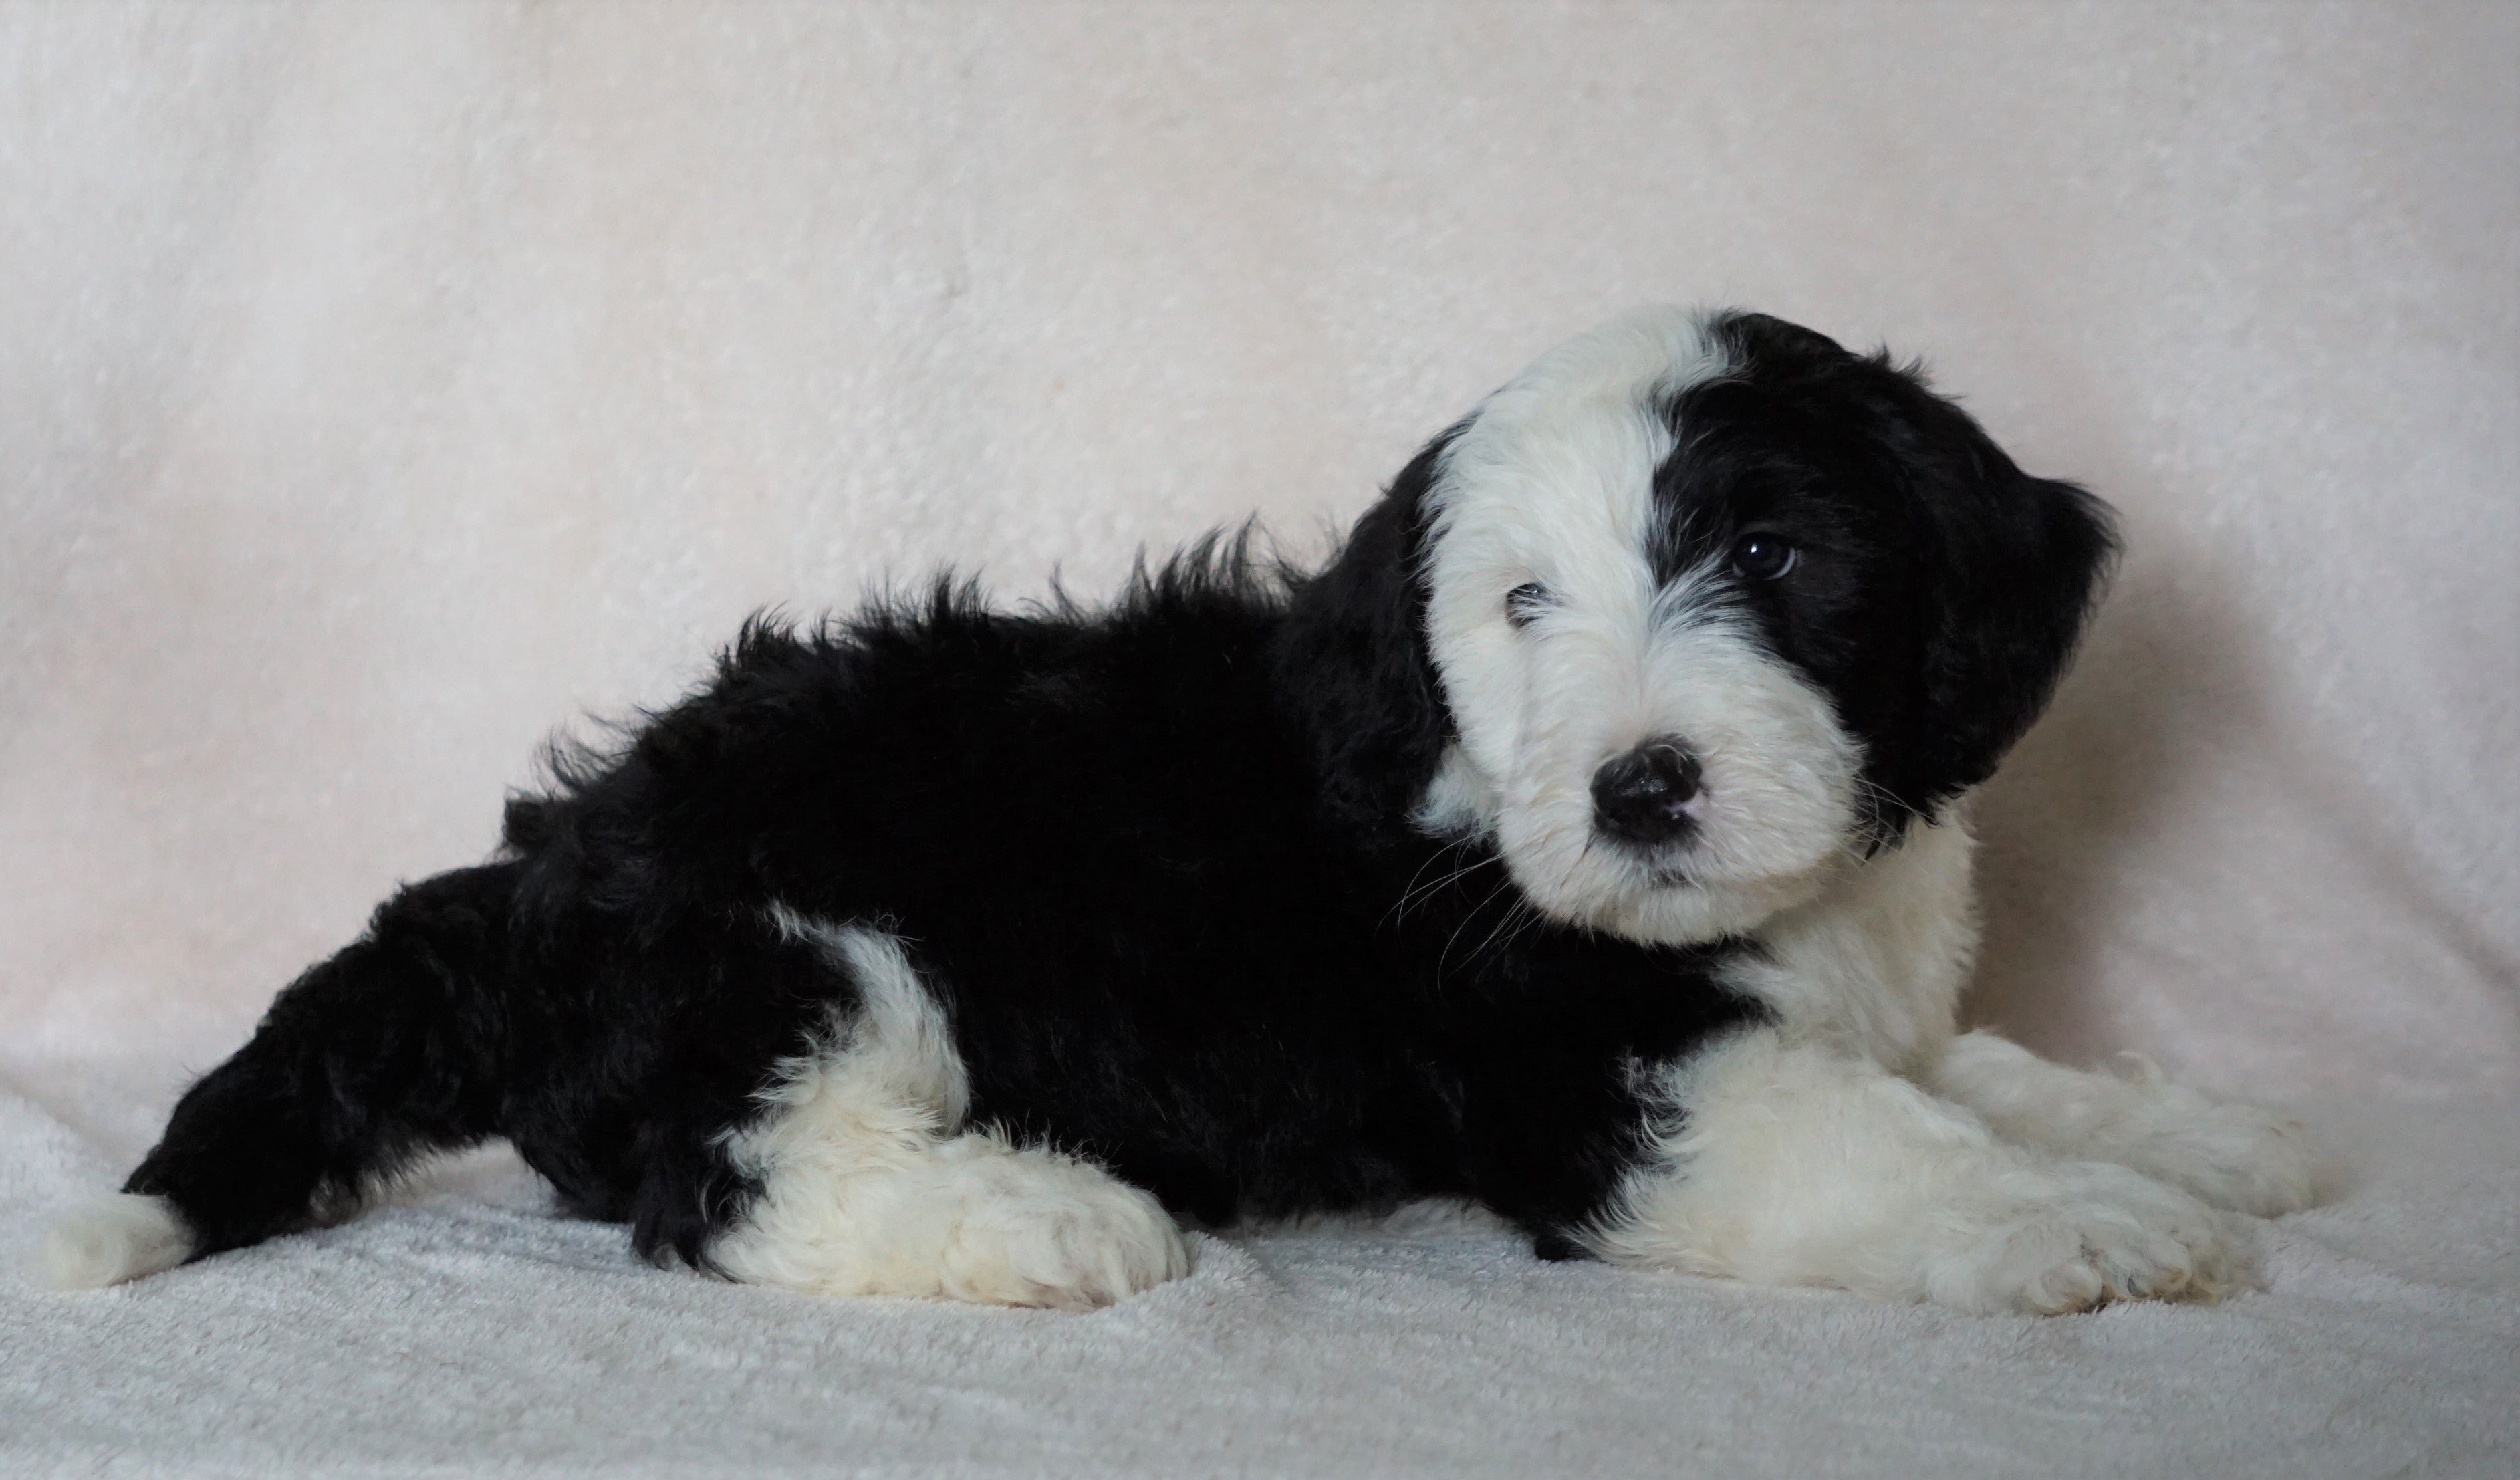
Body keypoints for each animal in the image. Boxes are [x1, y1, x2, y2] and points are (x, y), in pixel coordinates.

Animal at [44, 306, 2318, 1311]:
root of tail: (525, 875)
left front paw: (2203, 1133)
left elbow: (1975, 1069)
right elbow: (1871, 1138)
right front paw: (2073, 1220)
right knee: (731, 1180)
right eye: (1520, 607)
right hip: (800, 935)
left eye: (1770, 558)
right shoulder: (1601, 1079)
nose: (1638, 786)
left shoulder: (1858, 1004)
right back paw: (1042, 1215)